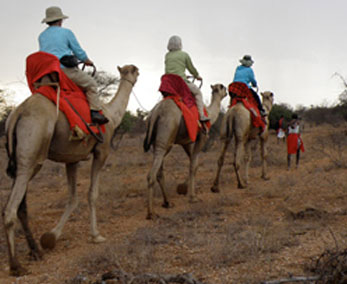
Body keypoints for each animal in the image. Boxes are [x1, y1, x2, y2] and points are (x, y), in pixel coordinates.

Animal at [3, 64, 140, 276]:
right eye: (134, 70)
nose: (138, 73)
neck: (111, 114)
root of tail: (17, 114)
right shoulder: (102, 152)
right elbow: (92, 194)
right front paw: (96, 235)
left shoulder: (72, 159)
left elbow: (72, 197)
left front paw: (51, 236)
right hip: (32, 152)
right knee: (10, 209)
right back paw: (16, 265)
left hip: (19, 159)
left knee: (20, 207)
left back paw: (36, 251)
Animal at [144, 83, 228, 219]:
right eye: (223, 87)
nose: (227, 92)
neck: (209, 113)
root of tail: (155, 113)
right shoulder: (202, 137)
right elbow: (193, 166)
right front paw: (193, 197)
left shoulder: (186, 142)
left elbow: (194, 164)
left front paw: (184, 189)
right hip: (166, 134)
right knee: (152, 174)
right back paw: (151, 213)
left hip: (156, 142)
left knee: (159, 171)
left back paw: (167, 203)